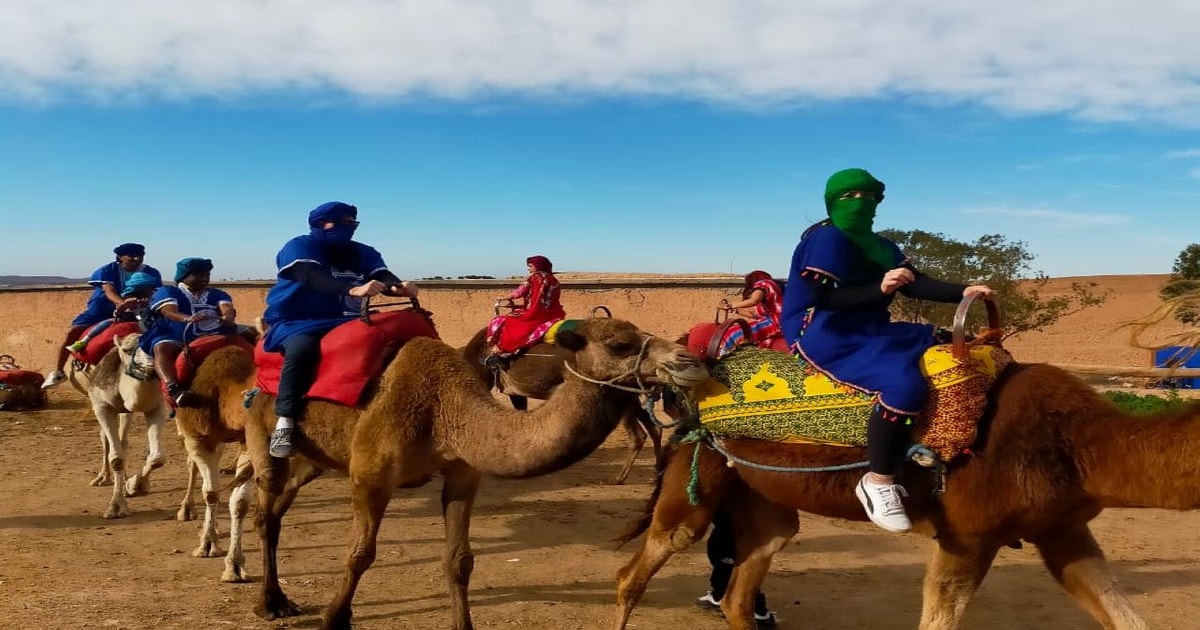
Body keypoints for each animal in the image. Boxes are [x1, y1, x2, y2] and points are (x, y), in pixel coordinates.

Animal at [66, 333, 168, 519]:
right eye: (127, 350)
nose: (151, 362)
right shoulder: (101, 406)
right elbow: (116, 458)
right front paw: (116, 507)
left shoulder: (156, 407)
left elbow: (157, 458)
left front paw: (134, 486)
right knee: (106, 439)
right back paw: (102, 478)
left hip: (126, 412)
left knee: (123, 440)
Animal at [461, 326, 665, 484]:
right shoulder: (515, 392)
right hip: (629, 392)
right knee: (653, 428)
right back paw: (656, 473)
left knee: (638, 435)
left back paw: (619, 478)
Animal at [611, 360, 1200, 630]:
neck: (1080, 442)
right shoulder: (968, 535)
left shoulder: (1063, 527)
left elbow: (1124, 615)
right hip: (698, 473)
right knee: (639, 568)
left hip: (759, 493)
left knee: (753, 570)